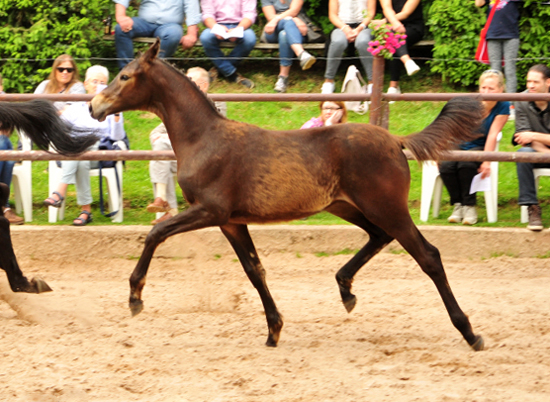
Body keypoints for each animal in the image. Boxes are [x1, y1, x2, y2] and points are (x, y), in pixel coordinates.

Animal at [90, 39, 488, 350]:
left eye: (125, 76)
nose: (95, 106)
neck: (203, 138)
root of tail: (395, 140)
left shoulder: (210, 210)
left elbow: (156, 232)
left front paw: (135, 297)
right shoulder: (231, 221)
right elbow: (254, 270)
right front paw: (274, 330)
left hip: (386, 207)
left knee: (428, 256)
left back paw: (470, 333)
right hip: (348, 207)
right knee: (379, 236)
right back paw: (346, 290)